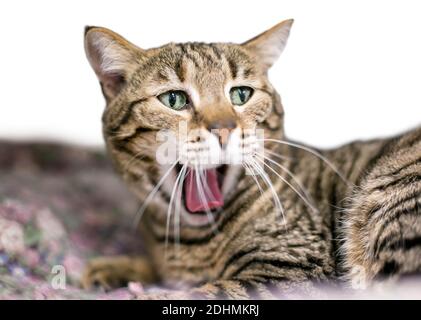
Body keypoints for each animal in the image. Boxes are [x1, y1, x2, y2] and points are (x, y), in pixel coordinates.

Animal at [81, 20, 420, 298]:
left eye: (241, 94)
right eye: (174, 99)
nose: (223, 128)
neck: (191, 242)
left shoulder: (292, 267)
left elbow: (205, 293)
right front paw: (116, 267)